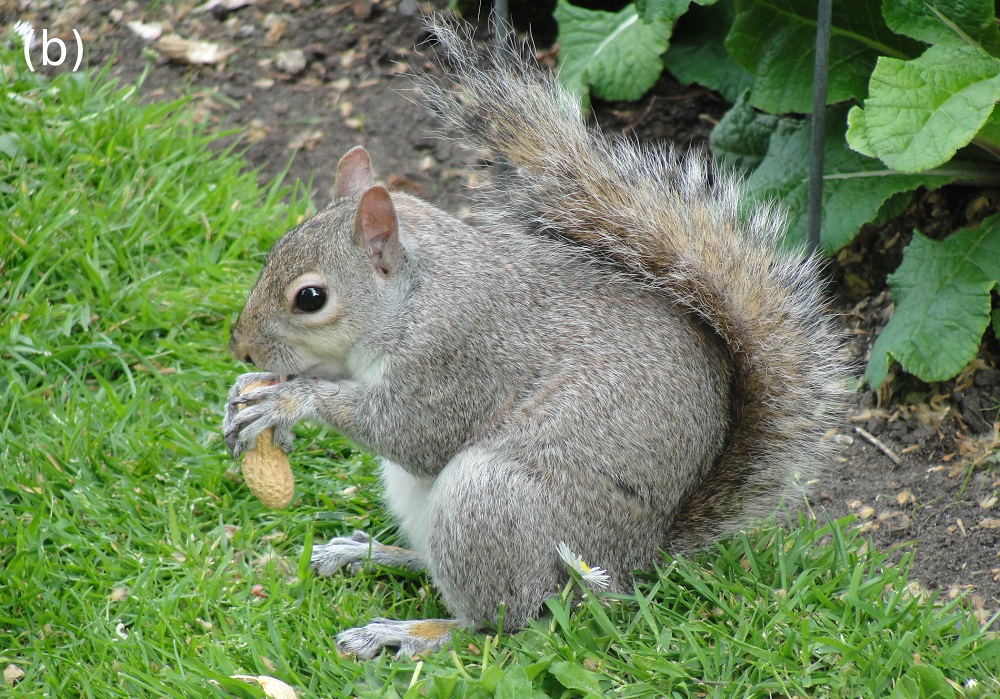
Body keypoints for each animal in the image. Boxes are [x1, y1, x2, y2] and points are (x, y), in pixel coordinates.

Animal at [221, 17, 844, 660]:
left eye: (310, 298)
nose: (240, 347)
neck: (415, 296)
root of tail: (634, 563)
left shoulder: (457, 357)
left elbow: (410, 431)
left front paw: (288, 400)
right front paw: (249, 391)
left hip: (490, 501)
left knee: (500, 621)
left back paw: (408, 633)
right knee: (439, 567)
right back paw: (367, 553)